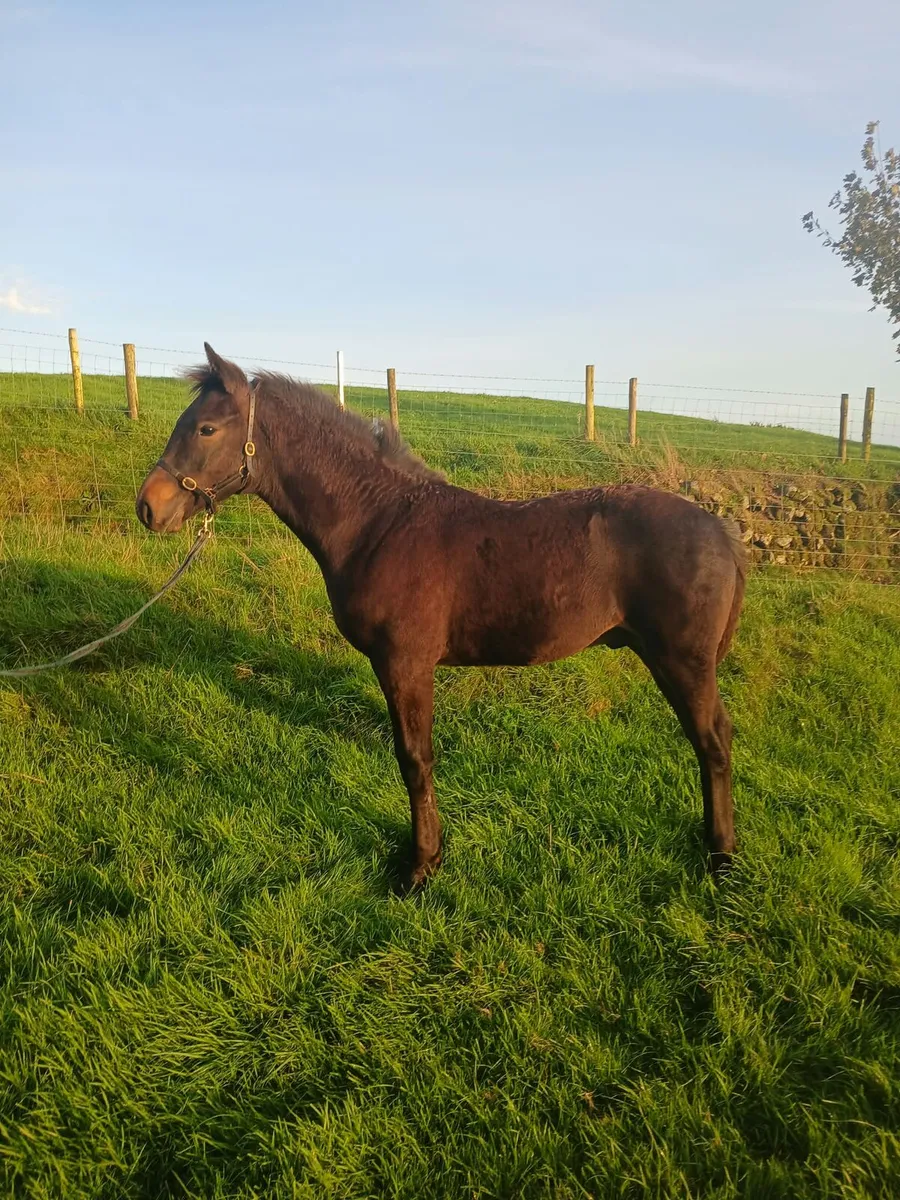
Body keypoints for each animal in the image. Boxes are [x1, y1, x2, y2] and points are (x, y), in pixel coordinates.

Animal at [137, 344, 745, 886]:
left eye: (206, 429)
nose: (149, 507)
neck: (378, 522)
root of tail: (722, 531)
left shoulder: (406, 664)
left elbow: (414, 759)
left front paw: (422, 865)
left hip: (683, 661)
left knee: (713, 740)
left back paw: (721, 857)